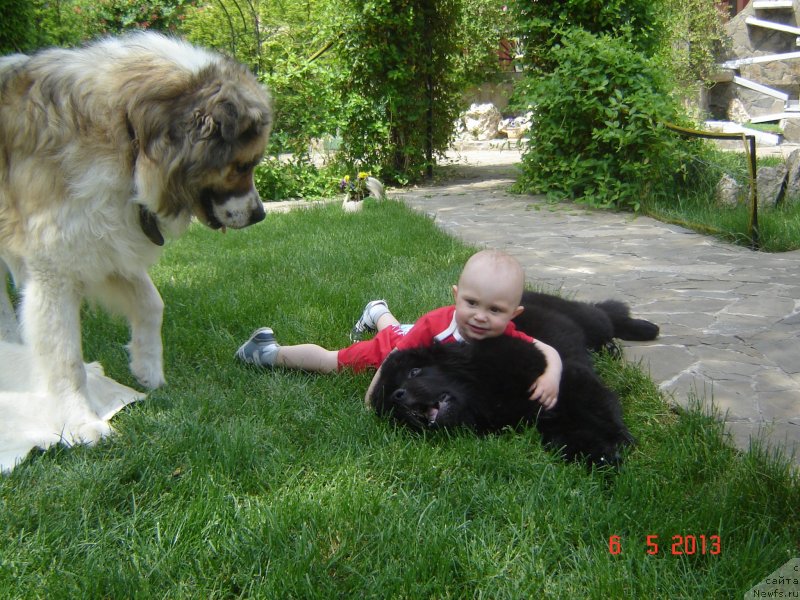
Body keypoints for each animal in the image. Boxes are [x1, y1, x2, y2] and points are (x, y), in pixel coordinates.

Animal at [0, 34, 272, 446]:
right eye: (243, 165)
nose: (260, 215)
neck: (128, 134)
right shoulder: (55, 268)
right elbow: (65, 356)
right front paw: (81, 422)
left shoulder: (106, 241)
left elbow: (151, 303)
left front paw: (148, 370)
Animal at [368, 290, 656, 468]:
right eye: (391, 401)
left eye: (414, 372)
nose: (399, 395)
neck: (484, 386)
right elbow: (564, 438)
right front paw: (599, 456)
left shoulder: (568, 377)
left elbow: (595, 408)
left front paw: (617, 439)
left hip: (588, 320)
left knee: (606, 314)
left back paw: (646, 329)